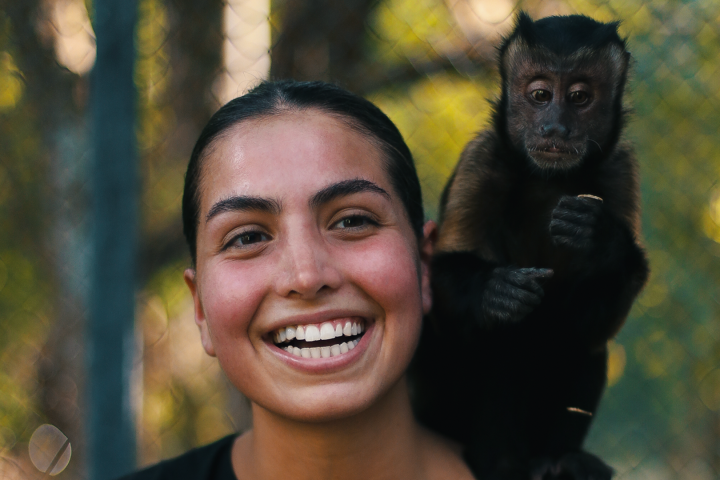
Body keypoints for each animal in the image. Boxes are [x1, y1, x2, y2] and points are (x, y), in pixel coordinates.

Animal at [411, 12, 649, 480]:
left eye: (579, 97)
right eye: (540, 96)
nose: (555, 126)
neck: (549, 179)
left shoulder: (620, 171)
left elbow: (594, 324)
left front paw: (601, 240)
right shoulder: (482, 160)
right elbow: (442, 291)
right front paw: (494, 291)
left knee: (577, 338)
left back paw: (562, 459)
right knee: (508, 336)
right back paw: (501, 463)